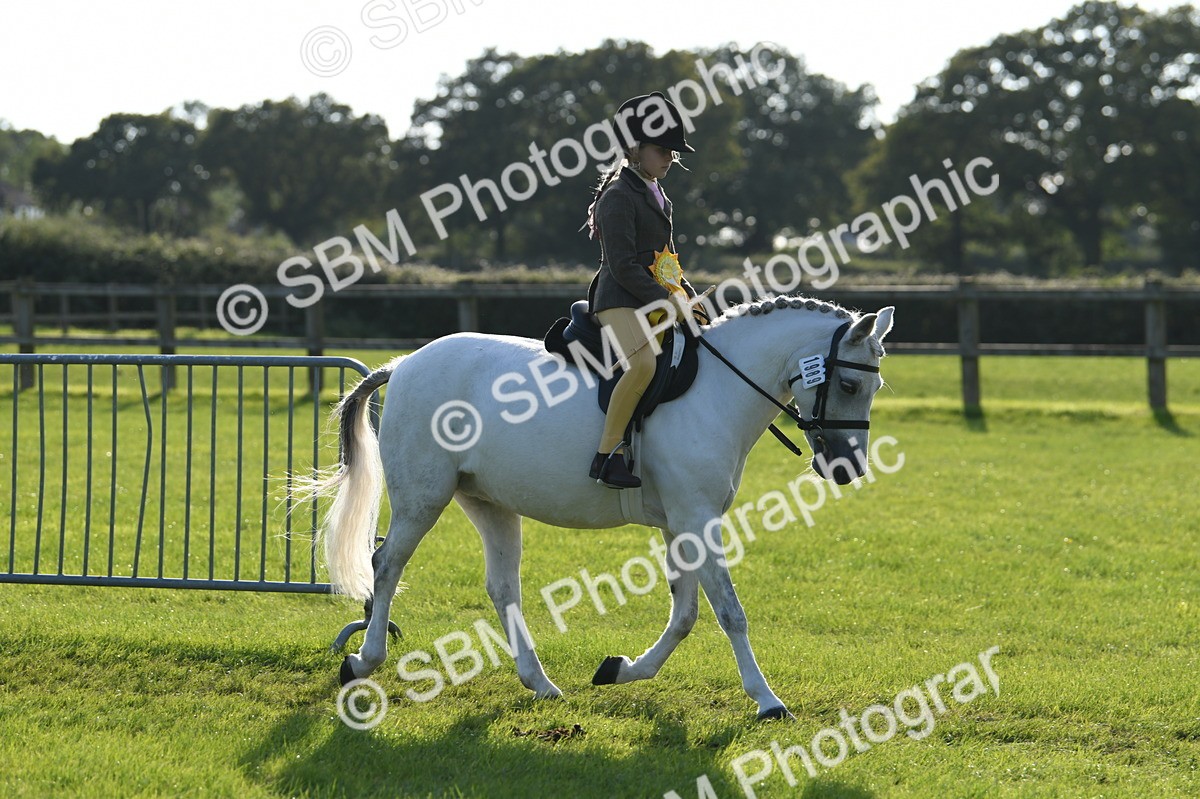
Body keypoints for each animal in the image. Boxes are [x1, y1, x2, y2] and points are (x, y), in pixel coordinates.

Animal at [314, 295, 894, 720]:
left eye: (875, 385)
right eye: (848, 383)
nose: (848, 468)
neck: (718, 392)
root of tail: (405, 363)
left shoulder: (682, 525)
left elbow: (686, 614)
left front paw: (621, 669)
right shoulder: (698, 519)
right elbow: (730, 611)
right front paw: (768, 701)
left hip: (487, 502)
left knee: (502, 587)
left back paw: (540, 683)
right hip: (423, 498)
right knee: (387, 565)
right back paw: (363, 661)